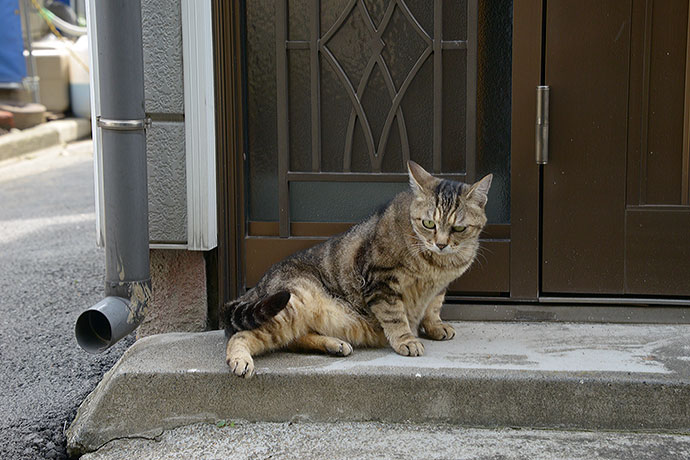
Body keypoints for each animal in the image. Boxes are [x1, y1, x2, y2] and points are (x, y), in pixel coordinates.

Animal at [220, 162, 490, 378]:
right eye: (428, 223)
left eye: (458, 228)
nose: (441, 244)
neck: (437, 265)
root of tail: (255, 288)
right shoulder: (380, 282)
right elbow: (395, 316)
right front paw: (407, 340)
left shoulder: (439, 288)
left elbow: (433, 308)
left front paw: (435, 326)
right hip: (292, 304)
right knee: (240, 335)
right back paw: (241, 360)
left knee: (293, 340)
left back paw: (333, 344)